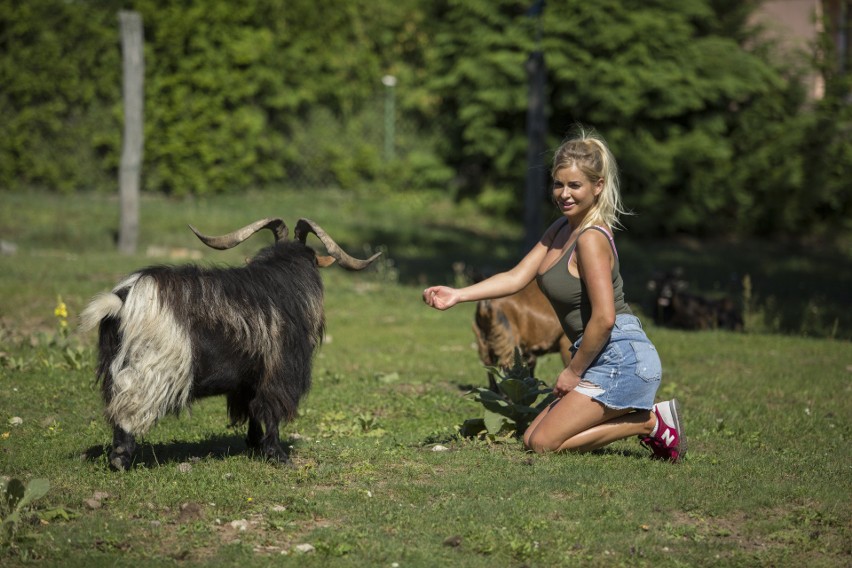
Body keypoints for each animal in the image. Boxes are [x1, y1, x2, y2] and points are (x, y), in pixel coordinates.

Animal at [80, 217, 380, 470]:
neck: (284, 284)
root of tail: (122, 300)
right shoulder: (278, 372)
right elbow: (270, 410)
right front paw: (278, 456)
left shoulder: (249, 378)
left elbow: (252, 410)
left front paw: (255, 446)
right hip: (151, 365)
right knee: (128, 407)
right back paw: (120, 459)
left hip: (115, 362)